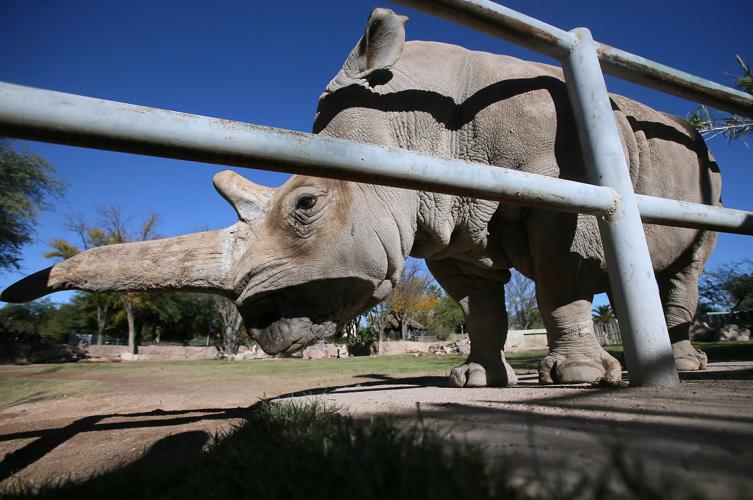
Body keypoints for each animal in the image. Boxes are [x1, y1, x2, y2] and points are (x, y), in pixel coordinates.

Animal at [2, 8, 719, 387]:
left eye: (305, 205)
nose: (261, 325)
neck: (405, 127)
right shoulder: (449, 222)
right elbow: (479, 305)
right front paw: (475, 379)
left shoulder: (562, 193)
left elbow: (558, 279)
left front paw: (575, 380)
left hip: (703, 162)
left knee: (689, 260)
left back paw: (682, 366)